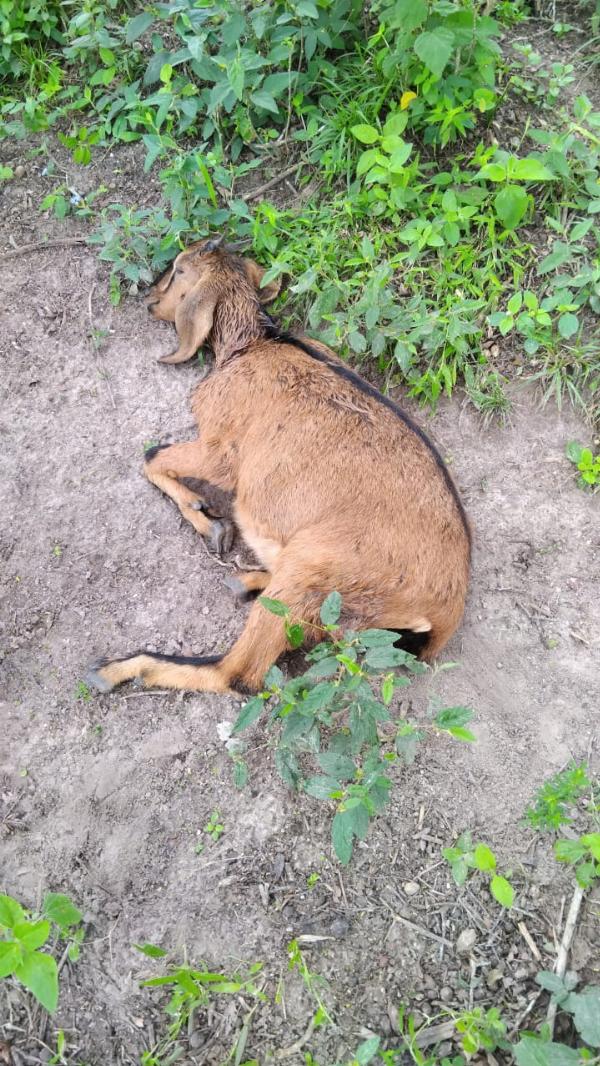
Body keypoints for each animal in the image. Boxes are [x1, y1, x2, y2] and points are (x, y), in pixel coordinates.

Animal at [88, 237, 471, 696]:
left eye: (179, 269)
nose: (149, 299)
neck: (256, 344)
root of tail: (438, 617)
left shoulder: (222, 450)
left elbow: (152, 457)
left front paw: (210, 523)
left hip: (316, 566)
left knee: (239, 672)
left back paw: (119, 667)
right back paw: (246, 580)